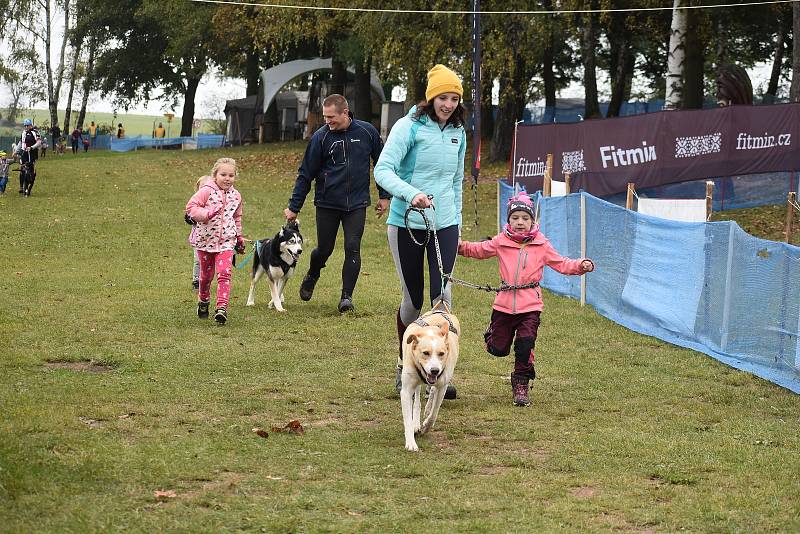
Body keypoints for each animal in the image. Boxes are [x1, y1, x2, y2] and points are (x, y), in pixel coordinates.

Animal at [404, 306, 460, 452]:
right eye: (425, 353)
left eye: (441, 353)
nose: (435, 370)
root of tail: (441, 311)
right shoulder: (406, 389)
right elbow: (408, 418)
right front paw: (411, 442)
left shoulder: (442, 385)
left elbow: (434, 412)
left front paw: (426, 426)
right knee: (417, 399)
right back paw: (416, 422)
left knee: (432, 392)